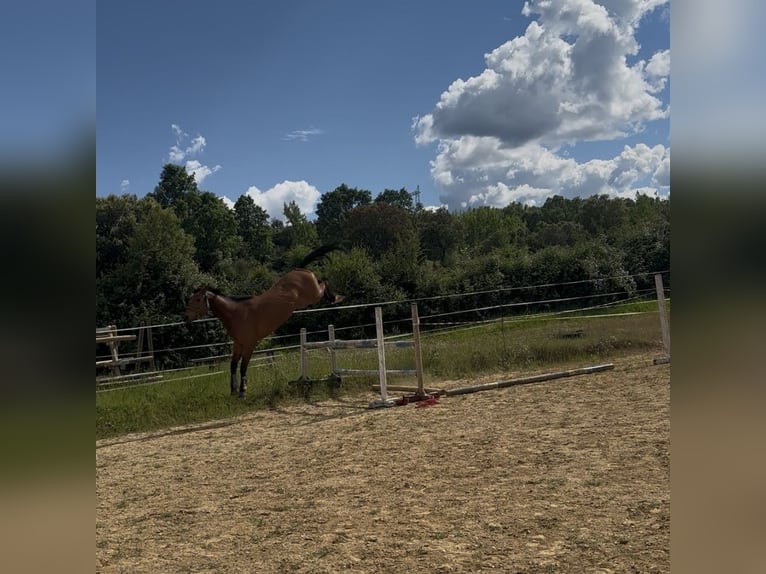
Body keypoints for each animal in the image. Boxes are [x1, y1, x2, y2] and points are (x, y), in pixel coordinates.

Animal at [184, 244, 344, 398]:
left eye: (197, 299)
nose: (185, 317)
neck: (236, 313)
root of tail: (299, 270)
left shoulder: (249, 344)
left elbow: (243, 366)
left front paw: (242, 391)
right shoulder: (238, 344)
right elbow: (233, 365)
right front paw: (233, 390)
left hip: (313, 295)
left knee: (323, 282)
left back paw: (336, 298)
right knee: (322, 281)